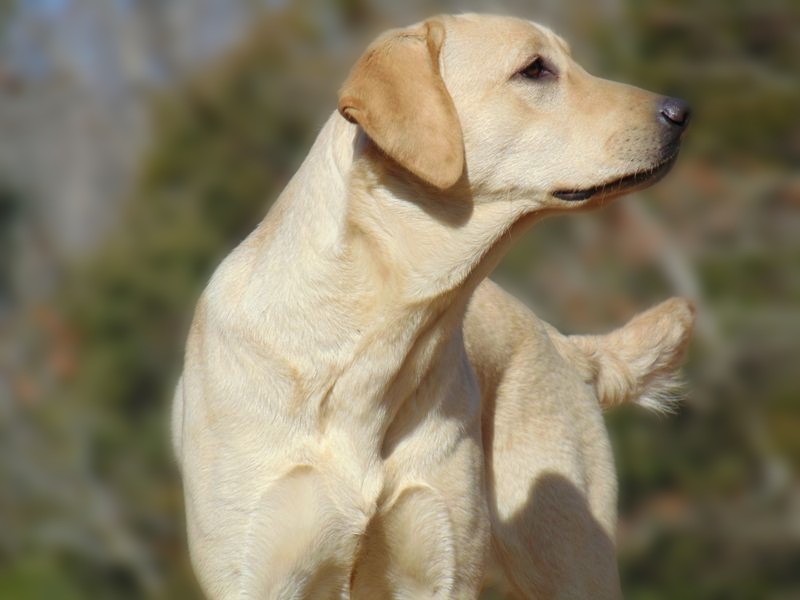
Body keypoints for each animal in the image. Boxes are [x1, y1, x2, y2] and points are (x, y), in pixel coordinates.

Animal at [172, 14, 692, 600]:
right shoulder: (259, 576)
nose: (681, 112)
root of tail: (560, 341)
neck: (370, 345)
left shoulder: (441, 568)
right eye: (535, 69)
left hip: (571, 559)